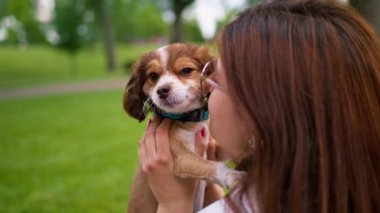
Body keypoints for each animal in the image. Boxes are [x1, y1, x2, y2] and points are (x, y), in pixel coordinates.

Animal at [124, 43, 243, 213]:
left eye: (186, 70)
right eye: (153, 76)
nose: (162, 90)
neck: (188, 120)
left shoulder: (212, 148)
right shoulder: (182, 157)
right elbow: (212, 166)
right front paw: (232, 175)